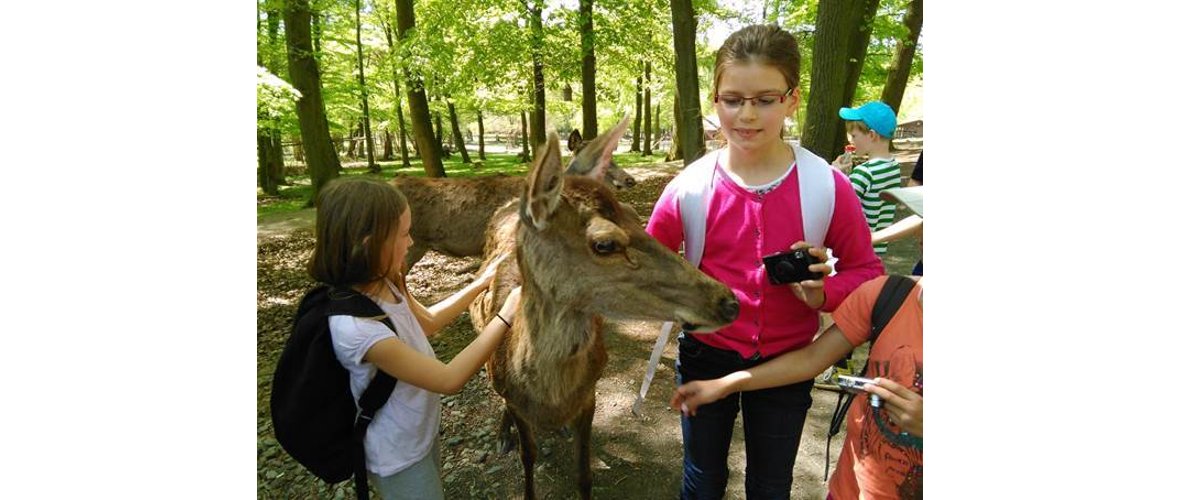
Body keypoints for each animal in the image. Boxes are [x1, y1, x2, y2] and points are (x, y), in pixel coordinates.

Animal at [467, 127, 736, 495]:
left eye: (636, 217)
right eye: (605, 243)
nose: (729, 302)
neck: (550, 394)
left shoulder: (590, 394)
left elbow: (584, 473)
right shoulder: (516, 401)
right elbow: (528, 455)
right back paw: (502, 435)